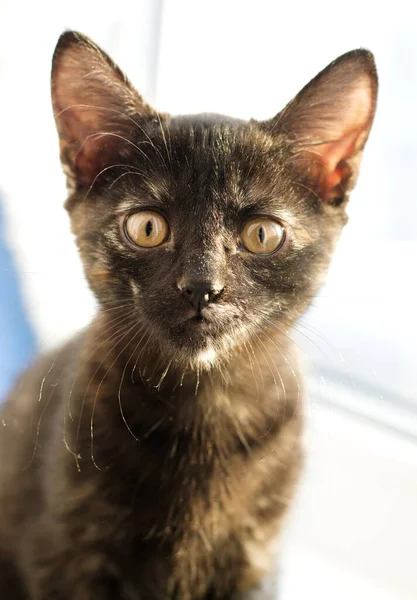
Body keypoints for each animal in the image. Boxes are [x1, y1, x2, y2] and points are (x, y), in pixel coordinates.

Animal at [0, 32, 376, 600]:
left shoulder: (255, 563)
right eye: (148, 227)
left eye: (262, 234)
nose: (203, 287)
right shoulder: (66, 553)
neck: (206, 406)